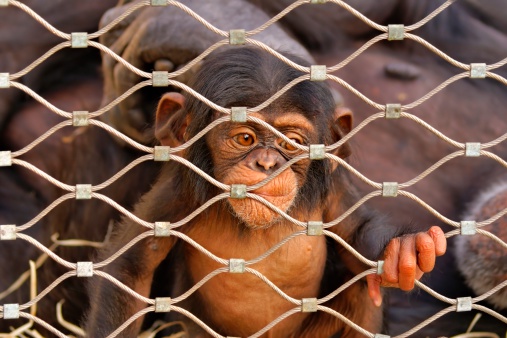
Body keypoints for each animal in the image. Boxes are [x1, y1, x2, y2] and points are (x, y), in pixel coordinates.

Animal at [85, 46, 446, 338]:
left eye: (292, 143)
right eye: (245, 138)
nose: (268, 163)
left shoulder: (334, 187)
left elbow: (355, 232)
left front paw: (403, 252)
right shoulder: (177, 191)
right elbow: (132, 265)